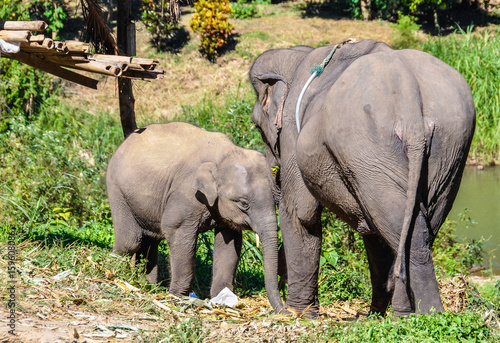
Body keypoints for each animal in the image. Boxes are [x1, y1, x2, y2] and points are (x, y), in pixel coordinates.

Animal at [250, 39, 476, 318]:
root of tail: (409, 102)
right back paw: (408, 315)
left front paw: (298, 315)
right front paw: (376, 315)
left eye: (256, 126)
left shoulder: (293, 130)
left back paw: (426, 315)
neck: (297, 56)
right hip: (449, 148)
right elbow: (372, 232)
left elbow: (300, 214)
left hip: (369, 149)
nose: (282, 307)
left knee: (403, 229)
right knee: (414, 228)